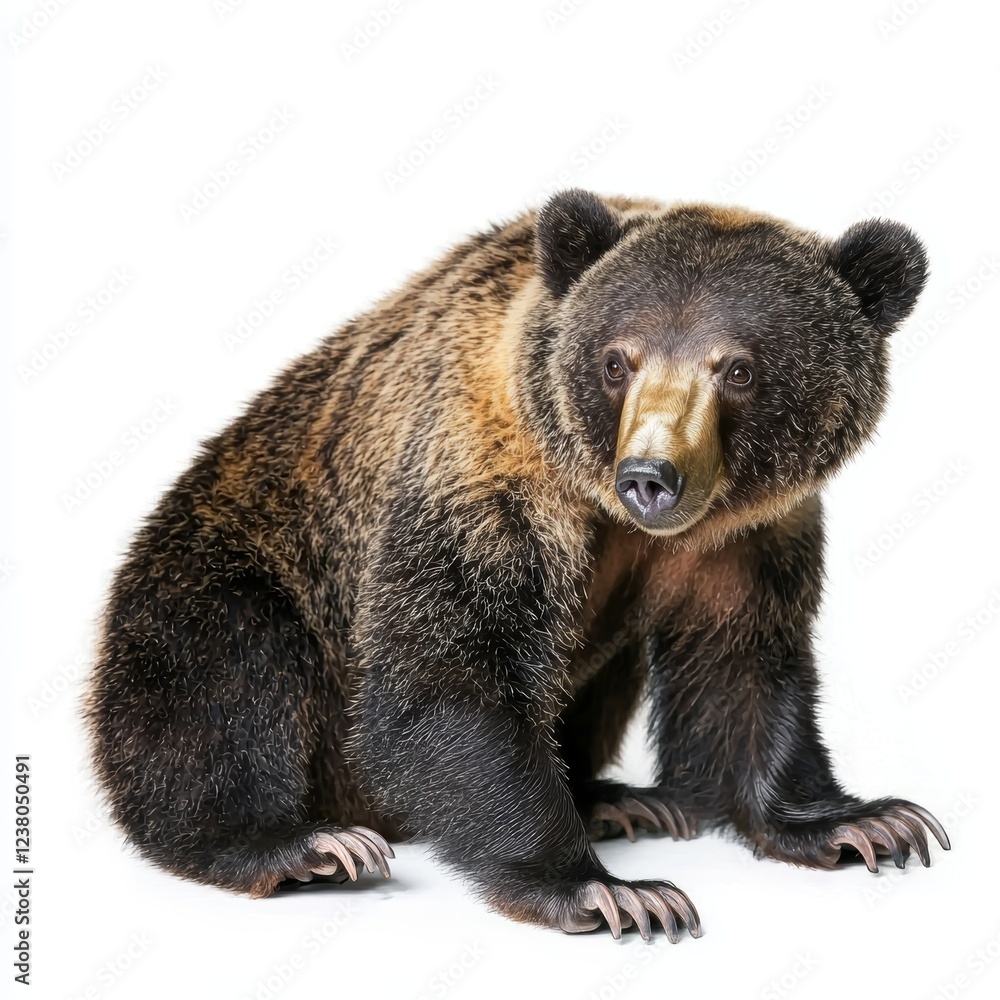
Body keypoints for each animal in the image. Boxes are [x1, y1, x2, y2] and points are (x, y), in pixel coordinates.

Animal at [84, 189, 949, 941]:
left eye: (737, 367)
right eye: (619, 360)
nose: (651, 476)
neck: (607, 508)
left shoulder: (747, 534)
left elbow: (742, 666)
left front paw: (862, 822)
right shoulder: (483, 482)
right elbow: (447, 676)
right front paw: (606, 890)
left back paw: (616, 799)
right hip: (233, 558)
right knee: (227, 669)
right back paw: (297, 843)